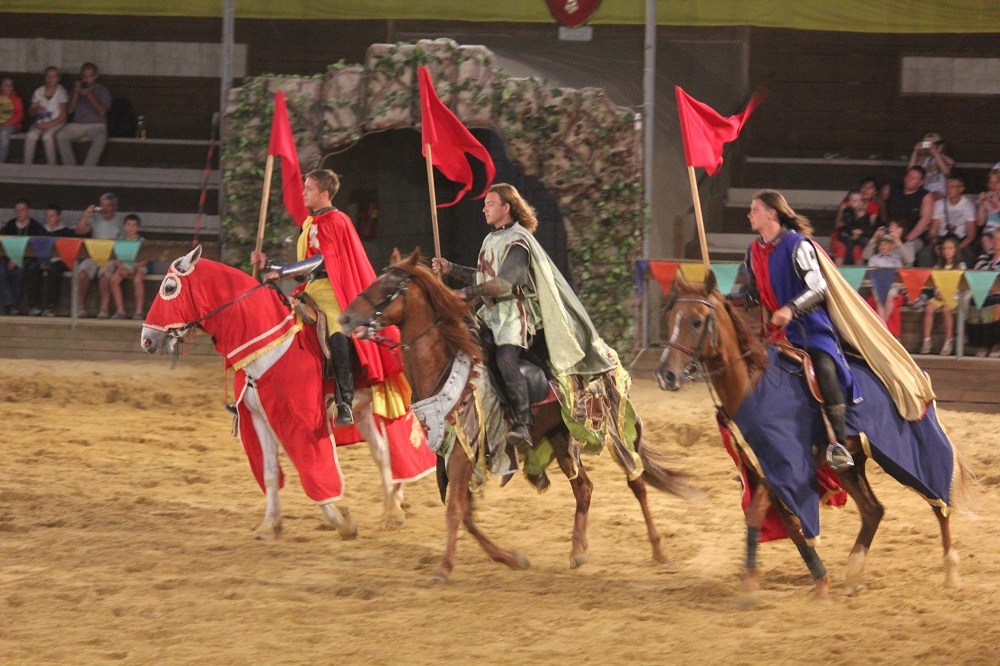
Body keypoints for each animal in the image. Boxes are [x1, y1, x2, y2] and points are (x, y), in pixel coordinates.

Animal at [338, 248, 696, 580]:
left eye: (390, 285)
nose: (345, 318)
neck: (444, 365)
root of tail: (607, 353)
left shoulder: (464, 451)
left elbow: (455, 510)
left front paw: (444, 567)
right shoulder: (452, 450)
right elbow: (466, 513)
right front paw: (511, 558)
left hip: (613, 427)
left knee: (637, 482)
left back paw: (658, 550)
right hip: (561, 437)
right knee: (584, 488)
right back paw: (578, 550)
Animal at [652, 268, 972, 600]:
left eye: (696, 321)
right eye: (672, 316)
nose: (666, 375)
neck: (752, 384)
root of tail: (915, 383)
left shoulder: (784, 466)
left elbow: (768, 514)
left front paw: (769, 584)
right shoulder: (760, 469)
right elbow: (782, 523)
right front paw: (805, 579)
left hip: (905, 454)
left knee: (939, 502)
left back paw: (951, 571)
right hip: (850, 466)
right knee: (873, 510)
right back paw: (852, 574)